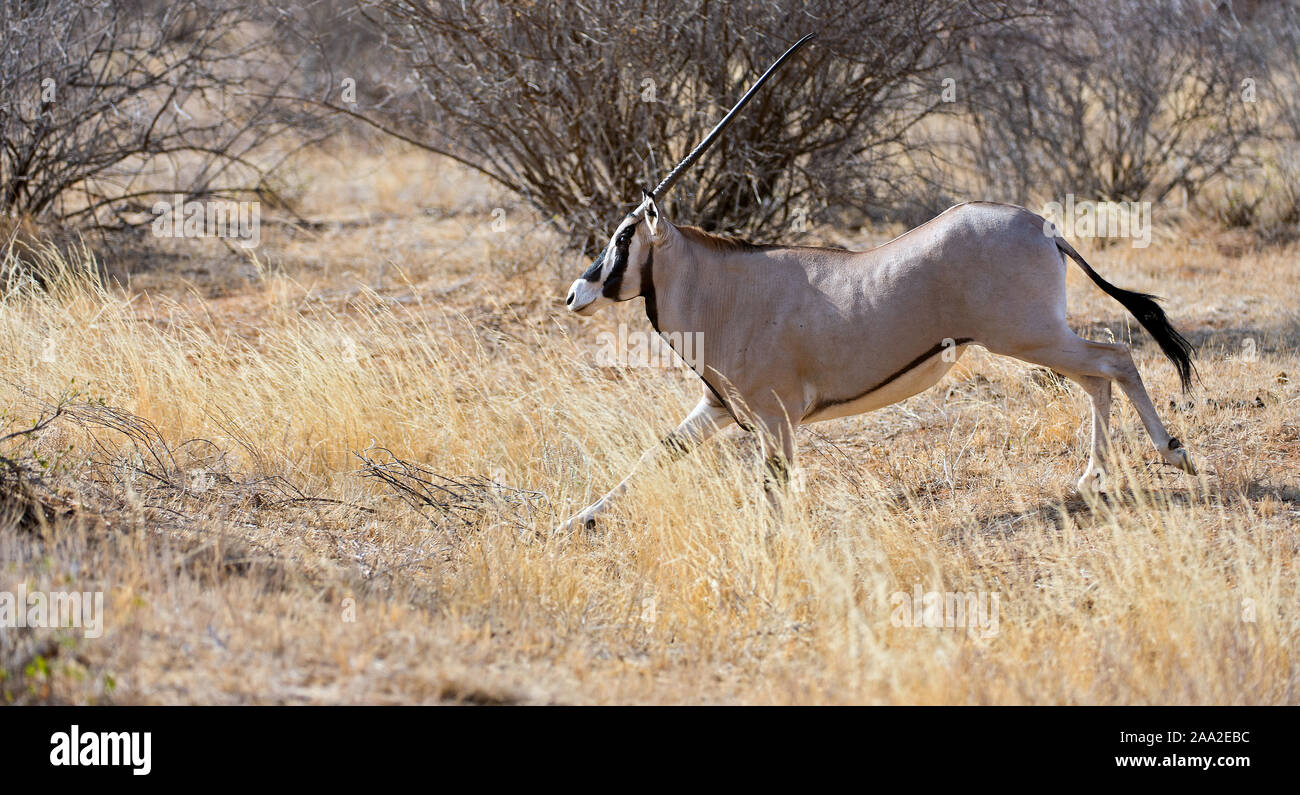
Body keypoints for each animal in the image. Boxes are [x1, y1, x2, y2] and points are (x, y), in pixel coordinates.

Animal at [553, 37, 1190, 535]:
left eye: (624, 236)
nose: (574, 296)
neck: (723, 289)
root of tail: (1043, 227)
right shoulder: (718, 407)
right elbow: (658, 453)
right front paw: (575, 521)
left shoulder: (775, 417)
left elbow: (773, 488)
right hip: (1038, 340)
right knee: (1097, 377)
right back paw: (1092, 479)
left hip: (1028, 337)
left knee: (1116, 358)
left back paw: (1171, 453)